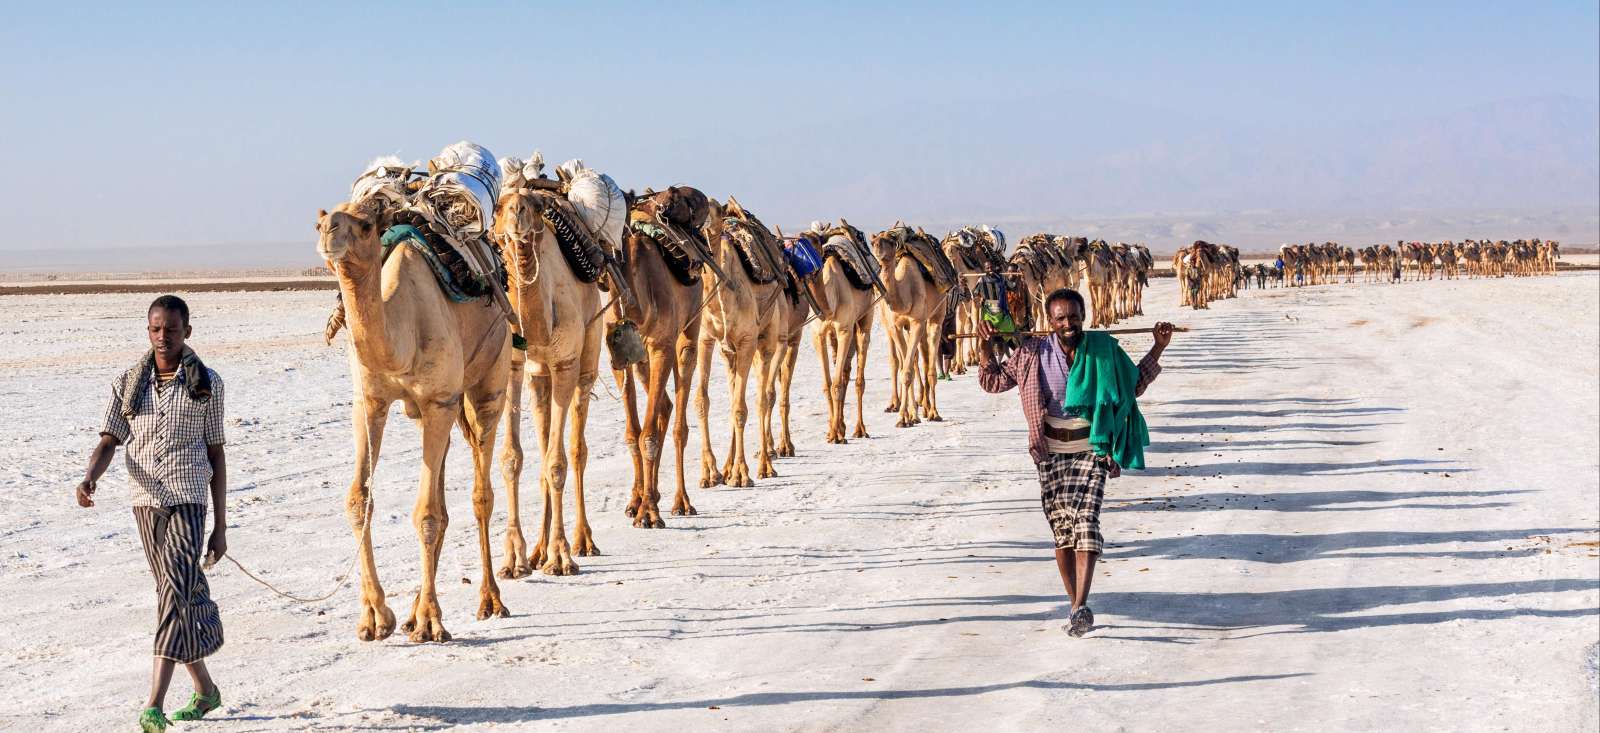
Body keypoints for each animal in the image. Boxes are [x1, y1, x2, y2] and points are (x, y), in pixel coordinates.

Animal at [315, 200, 508, 640]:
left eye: (365, 225)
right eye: (319, 222)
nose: (329, 230)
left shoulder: (439, 401)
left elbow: (426, 514)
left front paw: (431, 622)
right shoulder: (370, 402)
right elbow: (359, 499)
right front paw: (375, 617)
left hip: (489, 383)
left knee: (480, 492)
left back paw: (490, 600)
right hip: (432, 412)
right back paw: (412, 611)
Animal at [492, 186, 601, 576]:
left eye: (536, 206)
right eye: (498, 206)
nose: (517, 213)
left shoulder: (566, 362)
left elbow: (558, 462)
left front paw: (562, 556)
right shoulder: (513, 364)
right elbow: (513, 458)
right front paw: (514, 559)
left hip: (588, 357)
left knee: (577, 448)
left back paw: (583, 541)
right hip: (539, 375)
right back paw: (538, 551)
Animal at [806, 220, 883, 444]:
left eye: (815, 242)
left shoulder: (844, 330)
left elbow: (837, 384)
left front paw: (835, 434)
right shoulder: (818, 335)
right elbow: (827, 384)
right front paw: (832, 432)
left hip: (865, 319)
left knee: (857, 377)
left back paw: (859, 429)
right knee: (846, 371)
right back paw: (842, 427)